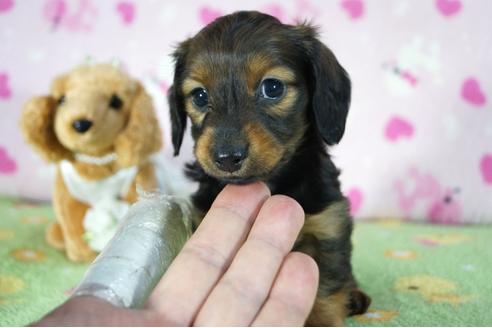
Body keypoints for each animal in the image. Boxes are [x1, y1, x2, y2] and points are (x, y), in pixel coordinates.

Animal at [168, 10, 368, 326]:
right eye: (199, 95)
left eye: (273, 87)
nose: (227, 157)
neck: (273, 183)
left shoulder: (327, 227)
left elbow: (324, 288)